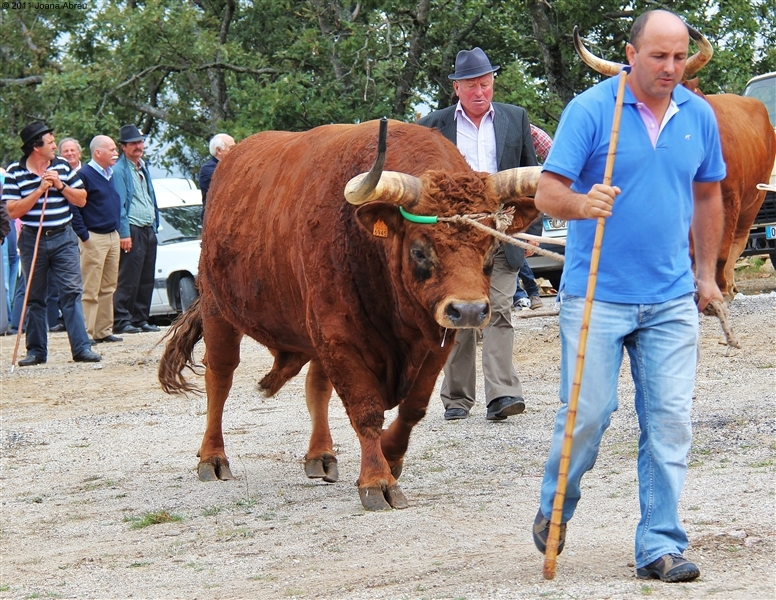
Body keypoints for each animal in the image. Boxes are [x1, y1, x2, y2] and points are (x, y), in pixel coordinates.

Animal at [159, 118, 540, 510]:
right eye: (419, 250)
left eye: (492, 246)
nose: (469, 310)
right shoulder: (340, 337)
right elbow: (365, 410)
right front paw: (377, 480)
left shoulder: (434, 340)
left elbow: (413, 407)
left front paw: (391, 455)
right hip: (218, 310)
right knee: (220, 377)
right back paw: (213, 457)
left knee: (316, 386)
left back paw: (321, 455)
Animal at [572, 25, 772, 298]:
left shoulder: (730, 199)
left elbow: (721, 250)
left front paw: (718, 288)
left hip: (754, 202)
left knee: (737, 243)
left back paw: (729, 284)